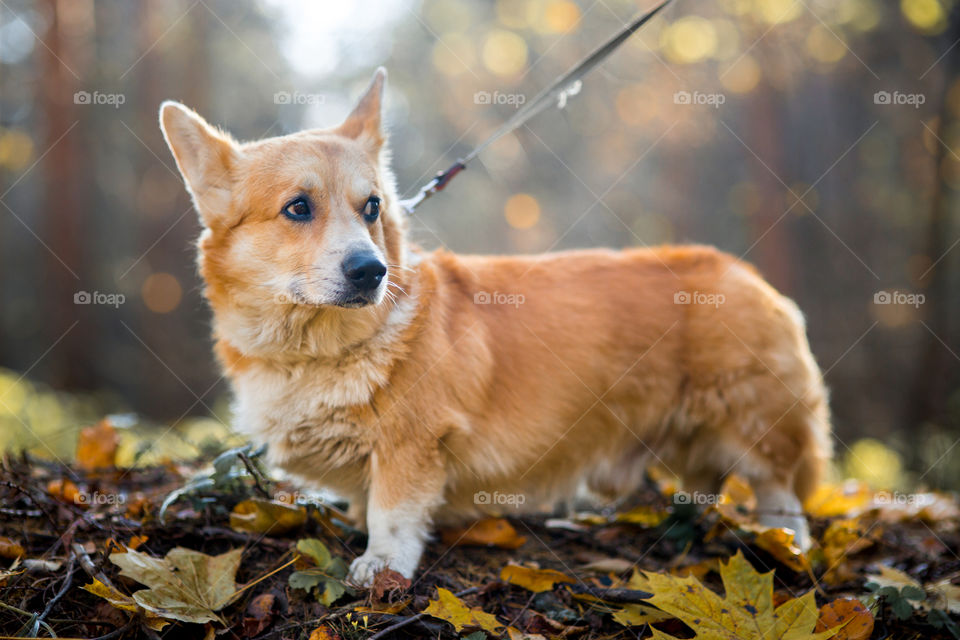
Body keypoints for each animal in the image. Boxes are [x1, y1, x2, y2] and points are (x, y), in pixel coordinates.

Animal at [161, 67, 828, 584]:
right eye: (297, 208)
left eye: (371, 207)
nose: (372, 271)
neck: (316, 347)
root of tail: (742, 271)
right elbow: (363, 500)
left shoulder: (413, 445)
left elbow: (393, 512)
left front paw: (381, 566)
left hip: (754, 422)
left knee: (780, 494)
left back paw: (788, 549)